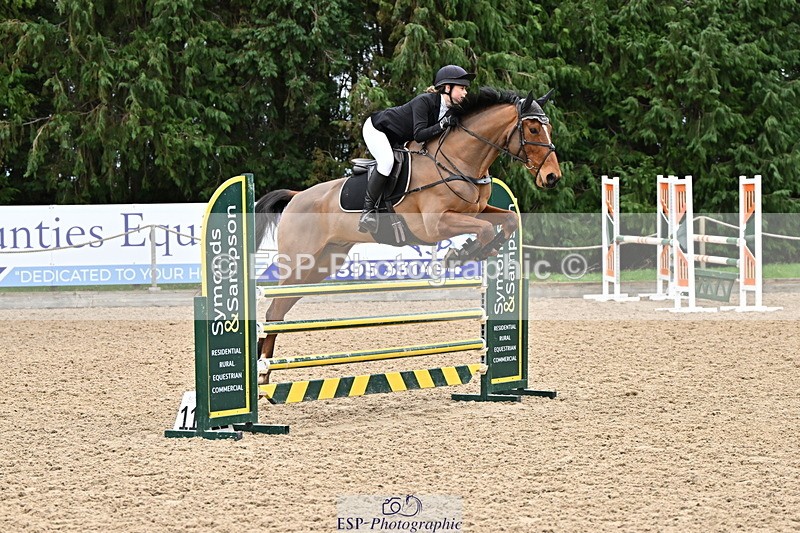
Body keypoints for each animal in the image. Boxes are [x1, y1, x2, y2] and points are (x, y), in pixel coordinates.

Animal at [254, 87, 562, 365]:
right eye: (534, 129)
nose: (552, 177)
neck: (457, 161)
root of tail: (296, 197)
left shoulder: (477, 211)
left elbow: (509, 220)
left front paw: (475, 250)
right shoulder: (435, 225)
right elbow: (483, 230)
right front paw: (462, 254)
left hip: (321, 264)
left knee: (279, 312)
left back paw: (265, 370)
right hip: (299, 262)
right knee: (272, 312)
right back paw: (262, 371)